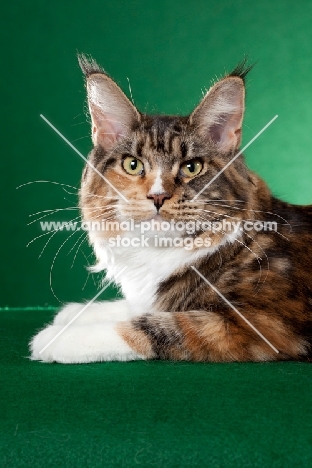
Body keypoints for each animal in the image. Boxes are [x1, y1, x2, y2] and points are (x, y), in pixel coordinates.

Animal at [29, 54, 312, 362]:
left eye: (192, 167)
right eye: (132, 165)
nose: (158, 196)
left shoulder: (256, 323)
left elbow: (152, 325)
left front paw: (57, 338)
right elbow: (137, 308)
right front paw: (74, 313)